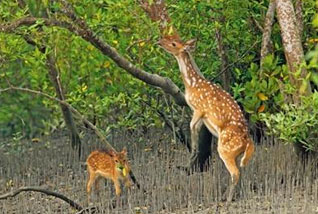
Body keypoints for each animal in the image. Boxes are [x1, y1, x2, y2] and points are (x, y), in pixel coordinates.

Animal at [158, 34, 255, 201]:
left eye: (174, 43)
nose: (159, 41)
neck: (191, 85)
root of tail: (248, 142)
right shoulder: (200, 115)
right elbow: (195, 128)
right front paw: (193, 154)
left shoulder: (199, 108)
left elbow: (191, 127)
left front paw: (192, 152)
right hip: (236, 153)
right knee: (241, 170)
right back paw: (229, 195)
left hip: (225, 149)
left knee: (235, 172)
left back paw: (227, 199)